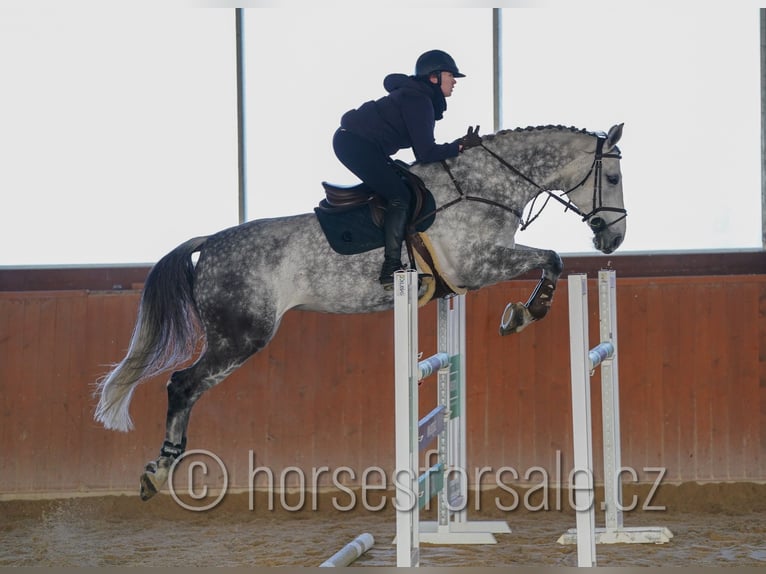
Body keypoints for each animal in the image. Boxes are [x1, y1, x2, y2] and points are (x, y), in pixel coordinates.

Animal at [94, 123, 626, 501]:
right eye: (614, 177)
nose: (614, 239)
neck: (483, 186)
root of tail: (209, 243)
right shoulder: (479, 264)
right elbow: (552, 258)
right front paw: (522, 314)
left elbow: (550, 259)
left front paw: (520, 312)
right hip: (240, 336)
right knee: (182, 385)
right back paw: (158, 472)